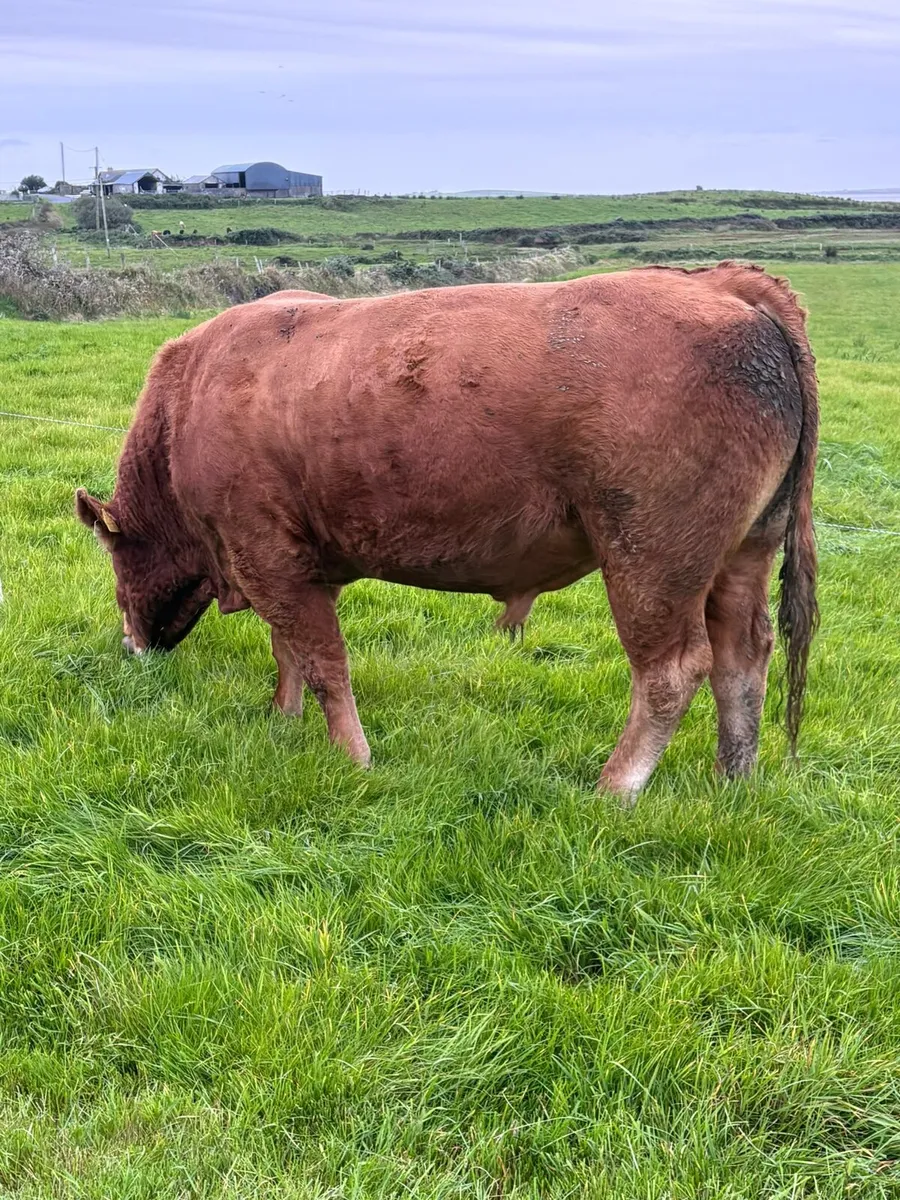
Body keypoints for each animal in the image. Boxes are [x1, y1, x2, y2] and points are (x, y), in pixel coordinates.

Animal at [76, 262, 818, 803]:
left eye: (115, 577)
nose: (129, 647)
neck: (187, 402)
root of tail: (721, 285)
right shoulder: (290, 564)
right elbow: (289, 651)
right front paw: (284, 719)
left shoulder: (265, 556)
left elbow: (322, 662)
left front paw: (353, 757)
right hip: (743, 553)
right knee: (743, 658)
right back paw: (734, 778)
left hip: (650, 560)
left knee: (673, 670)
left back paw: (615, 790)